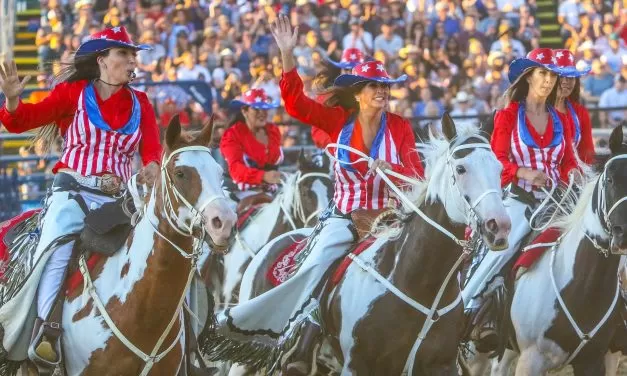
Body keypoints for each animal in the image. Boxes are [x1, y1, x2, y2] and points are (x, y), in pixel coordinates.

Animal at [238, 116, 512, 374]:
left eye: (499, 169)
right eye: (461, 168)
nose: (499, 226)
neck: (417, 280)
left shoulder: (441, 365)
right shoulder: (357, 365)